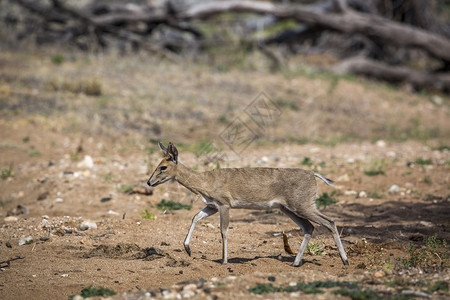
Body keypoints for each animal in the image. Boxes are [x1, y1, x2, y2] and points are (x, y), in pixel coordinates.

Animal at [148, 142, 348, 266]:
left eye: (163, 167)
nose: (150, 182)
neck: (205, 181)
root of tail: (313, 174)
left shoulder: (225, 205)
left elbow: (223, 231)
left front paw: (224, 261)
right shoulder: (212, 206)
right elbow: (195, 217)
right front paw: (188, 249)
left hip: (303, 206)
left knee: (330, 222)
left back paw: (345, 261)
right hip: (288, 209)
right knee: (309, 227)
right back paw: (295, 263)